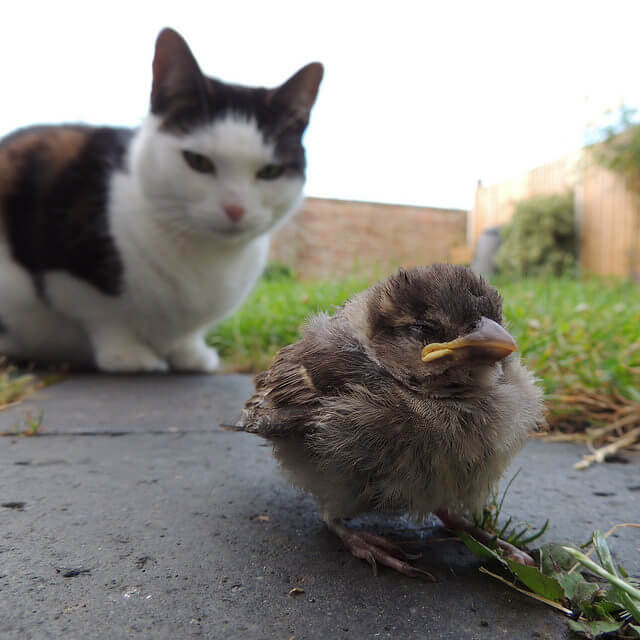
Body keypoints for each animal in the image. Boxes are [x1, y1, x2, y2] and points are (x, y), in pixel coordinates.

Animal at [0, 27, 322, 372]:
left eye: (270, 171)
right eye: (198, 161)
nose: (235, 208)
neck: (206, 258)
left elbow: (187, 336)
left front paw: (189, 352)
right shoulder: (65, 267)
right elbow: (102, 315)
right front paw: (128, 354)